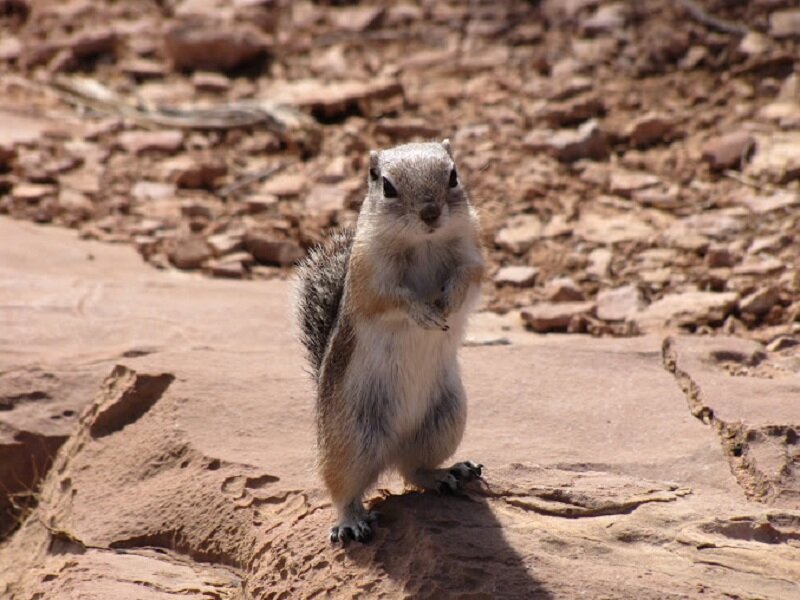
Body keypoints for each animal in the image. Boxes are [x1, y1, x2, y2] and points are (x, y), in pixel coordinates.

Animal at [296, 140, 485, 544]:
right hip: (351, 441)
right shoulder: (371, 277)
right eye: (387, 186)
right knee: (344, 490)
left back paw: (448, 473)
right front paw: (425, 313)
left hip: (445, 420)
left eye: (453, 176)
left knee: (413, 469)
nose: (430, 212)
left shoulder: (472, 251)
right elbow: (393, 300)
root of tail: (392, 449)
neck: (423, 241)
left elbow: (468, 276)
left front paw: (448, 301)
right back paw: (350, 522)